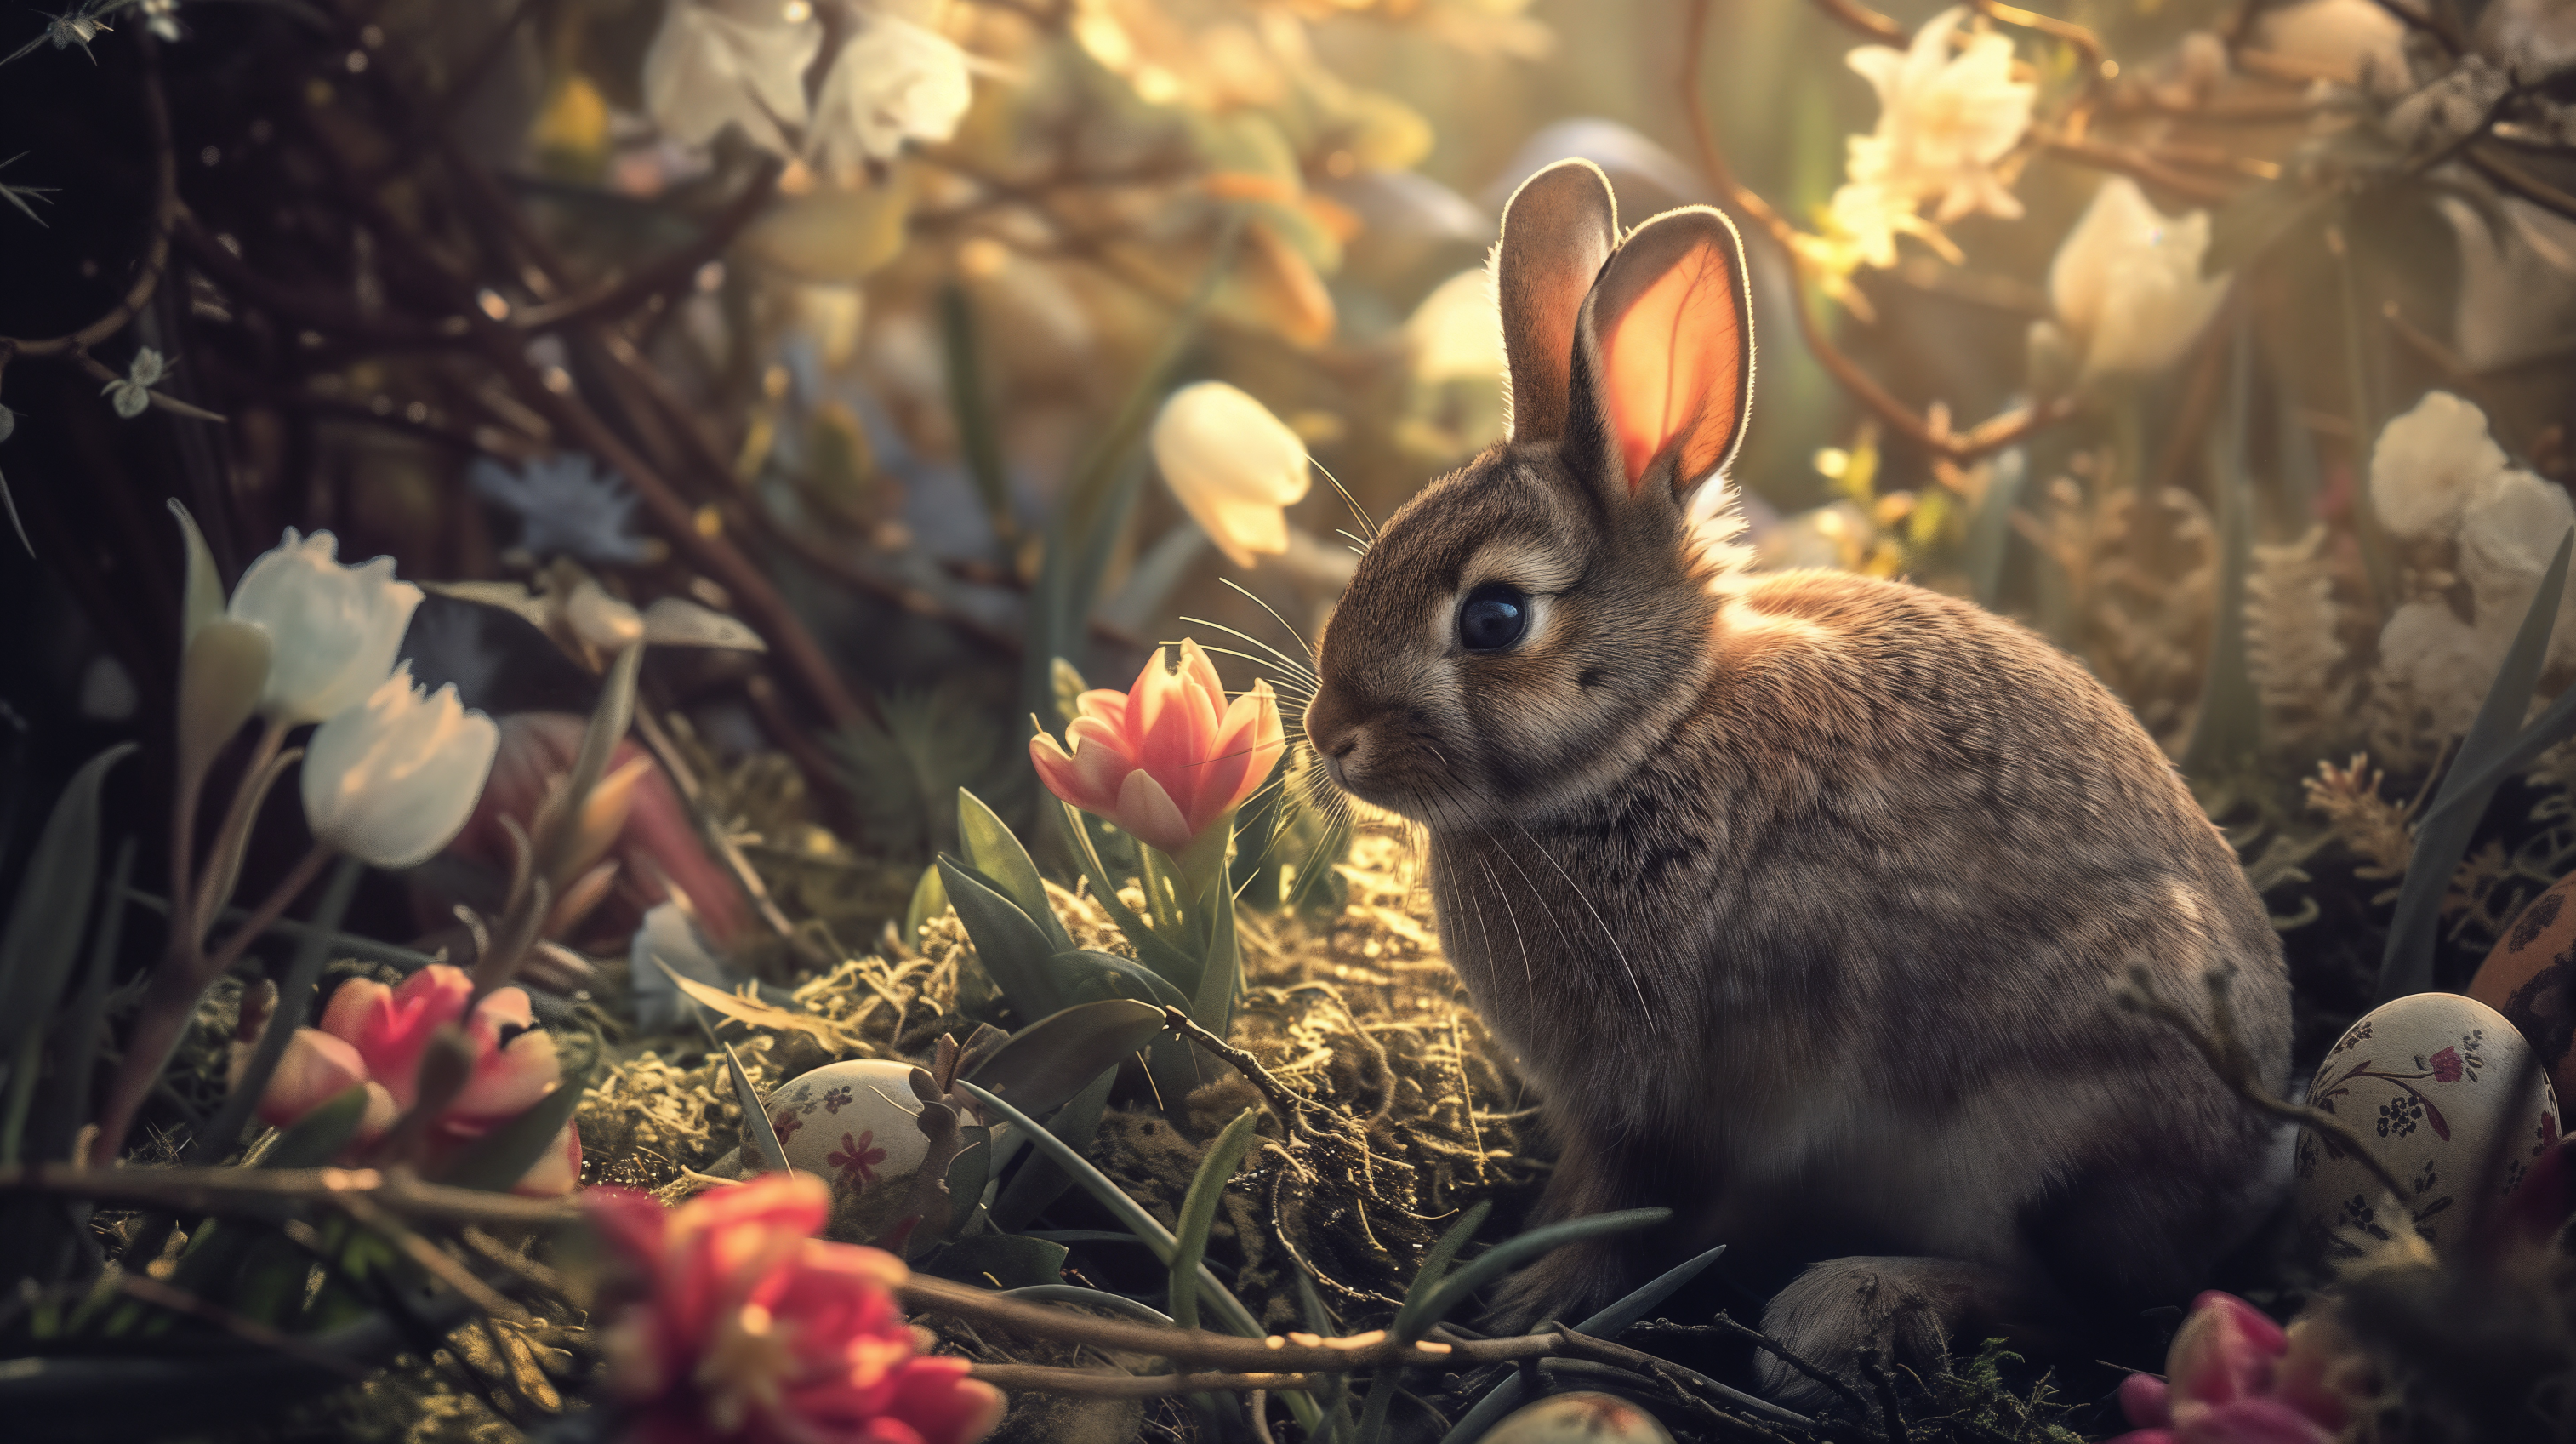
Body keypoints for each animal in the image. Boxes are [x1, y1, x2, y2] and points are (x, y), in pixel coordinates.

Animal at [1298, 159, 2294, 1405]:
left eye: (1493, 619)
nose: (1327, 733)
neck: (1655, 734)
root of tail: (2256, 1165)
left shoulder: (1672, 1098)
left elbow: (1636, 1209)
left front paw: (1533, 1298)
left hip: (2041, 1128)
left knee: (2078, 1302)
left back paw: (1850, 1308)